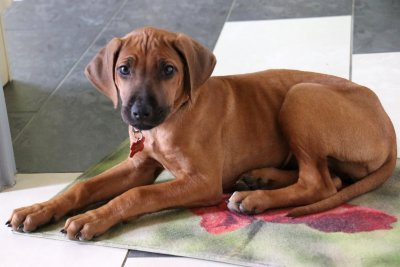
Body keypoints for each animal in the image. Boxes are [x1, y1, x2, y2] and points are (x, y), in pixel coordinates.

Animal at [7, 27, 396, 243]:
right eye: (124, 69)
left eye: (168, 70)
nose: (139, 114)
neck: (170, 120)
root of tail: (389, 127)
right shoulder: (139, 166)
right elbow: (84, 187)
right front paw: (37, 209)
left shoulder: (202, 181)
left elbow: (138, 194)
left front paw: (93, 218)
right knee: (330, 176)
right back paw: (260, 178)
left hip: (301, 95)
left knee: (320, 182)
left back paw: (254, 198)